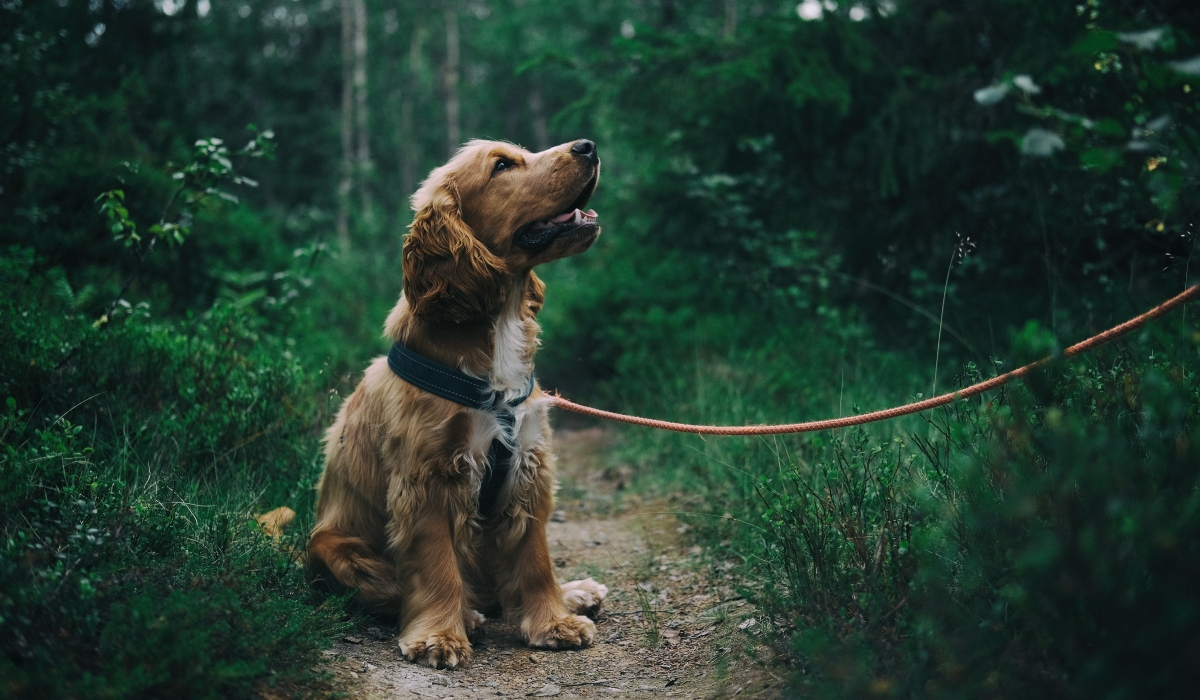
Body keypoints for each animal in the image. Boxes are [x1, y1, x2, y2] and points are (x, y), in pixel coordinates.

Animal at [309, 136, 609, 667]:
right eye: (503, 166)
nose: (588, 146)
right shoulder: (428, 476)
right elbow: (436, 564)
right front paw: (439, 636)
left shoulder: (528, 465)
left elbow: (535, 558)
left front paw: (553, 621)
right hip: (333, 548)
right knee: (398, 589)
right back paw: (467, 615)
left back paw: (574, 592)